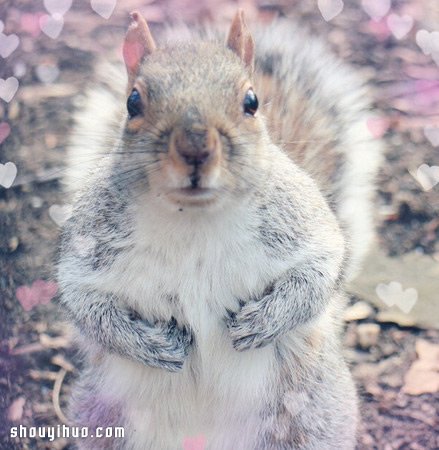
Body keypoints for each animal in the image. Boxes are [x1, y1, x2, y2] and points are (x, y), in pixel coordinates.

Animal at [57, 9, 382, 450]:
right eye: (133, 102)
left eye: (251, 101)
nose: (196, 147)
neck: (194, 219)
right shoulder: (88, 246)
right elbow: (85, 303)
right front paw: (150, 345)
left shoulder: (303, 226)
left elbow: (320, 270)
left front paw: (263, 322)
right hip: (107, 422)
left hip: (308, 416)